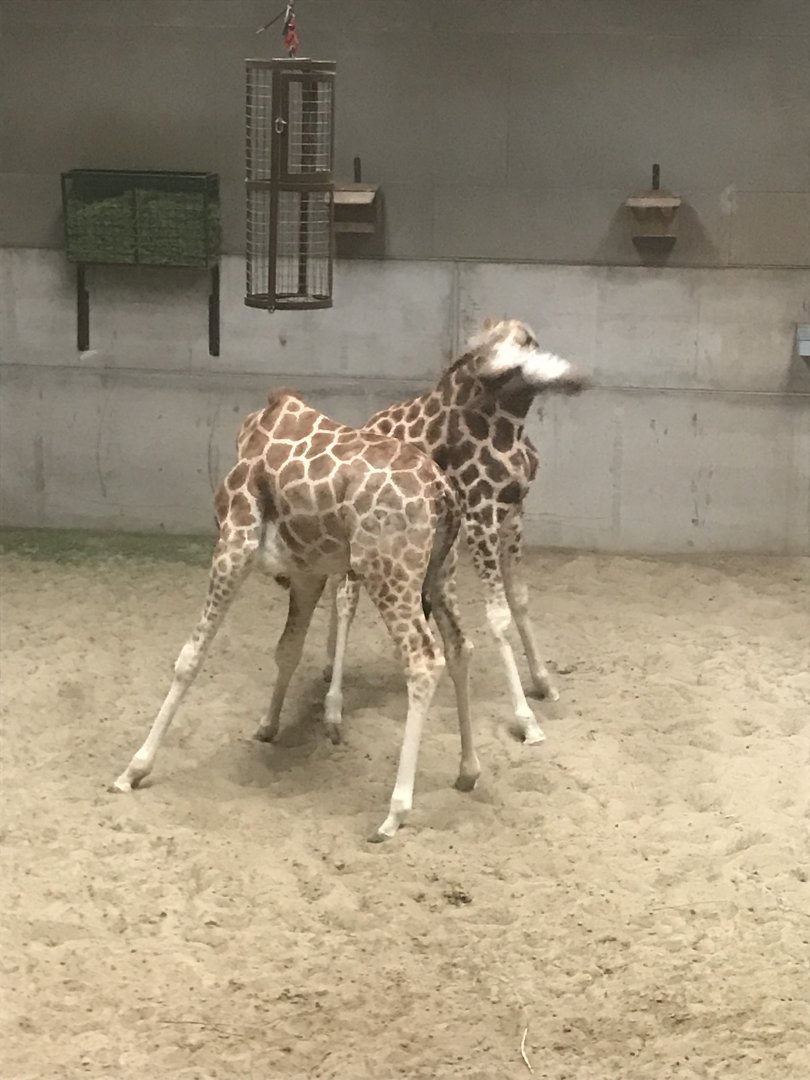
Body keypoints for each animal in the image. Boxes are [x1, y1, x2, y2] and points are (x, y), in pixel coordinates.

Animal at [112, 389, 480, 842]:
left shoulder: (234, 544)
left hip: (389, 568)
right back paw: (468, 771)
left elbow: (189, 658)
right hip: (441, 571)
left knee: (424, 660)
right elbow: (287, 649)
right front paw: (268, 725)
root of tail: (443, 495)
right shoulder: (307, 572)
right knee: (460, 646)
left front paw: (134, 769)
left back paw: (395, 813)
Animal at [324, 317, 588, 746]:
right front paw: (527, 720)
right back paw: (333, 708)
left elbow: (520, 599)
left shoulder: (514, 514)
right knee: (346, 599)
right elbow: (498, 617)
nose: (577, 378)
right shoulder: (481, 517)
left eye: (528, 343)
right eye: (487, 352)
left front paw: (545, 683)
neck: (509, 429)